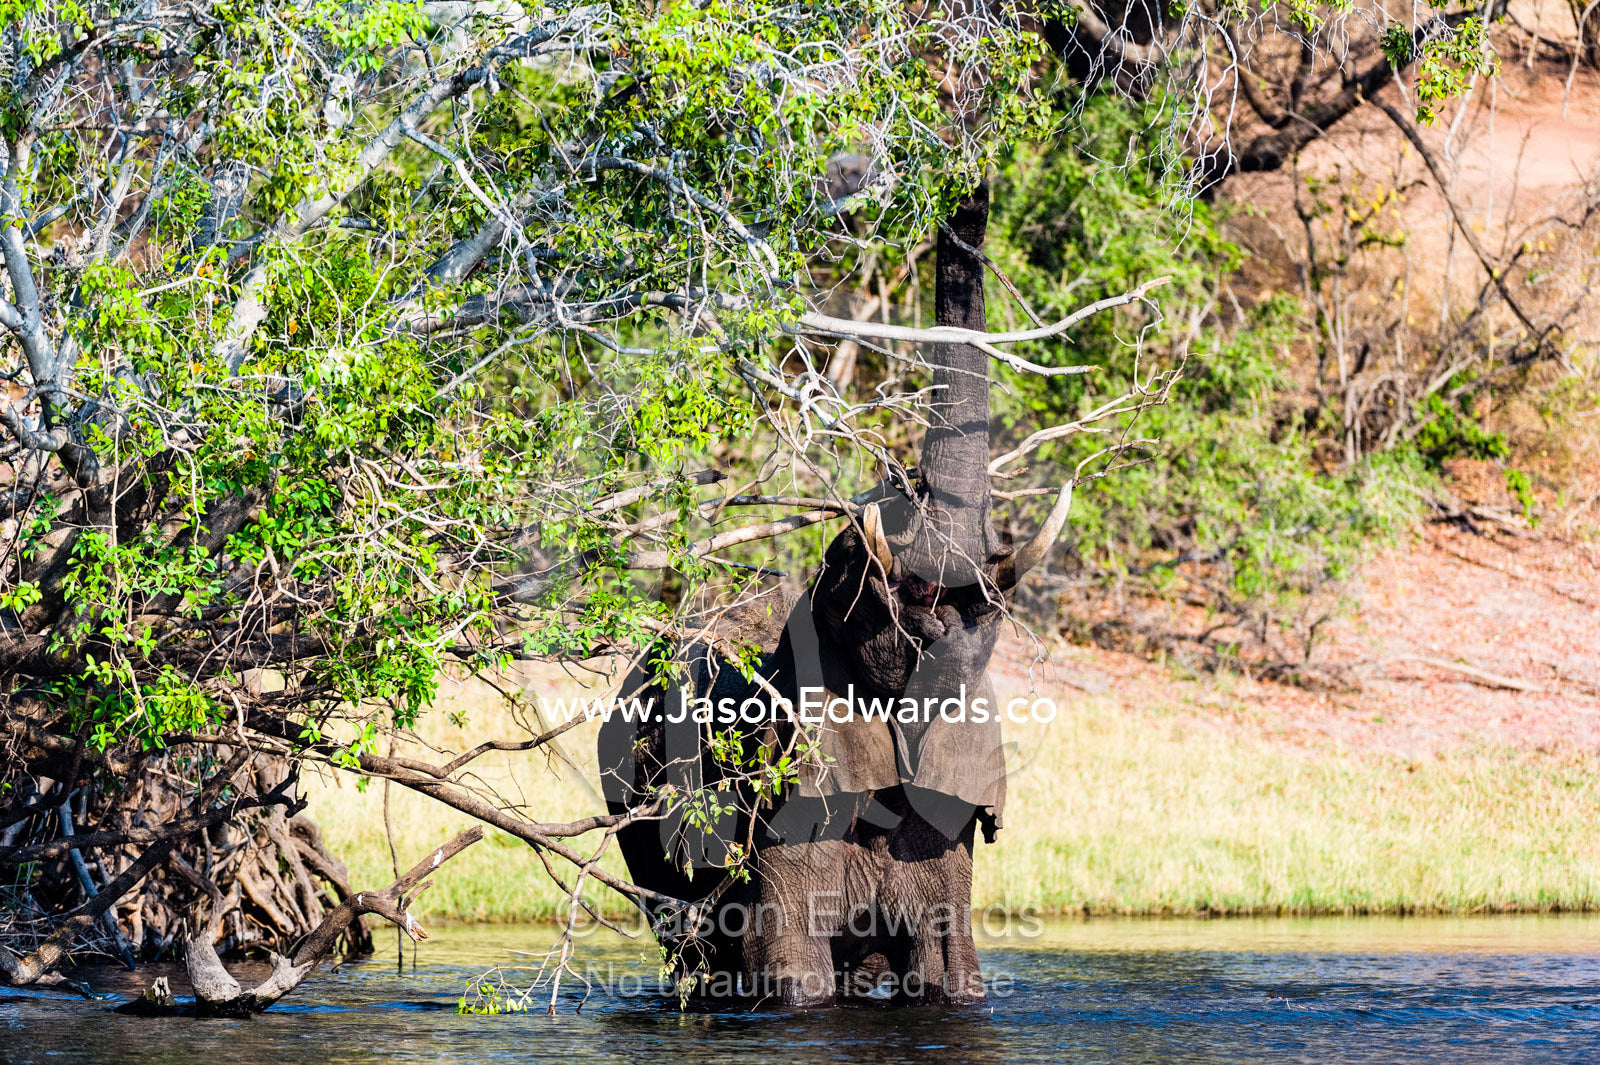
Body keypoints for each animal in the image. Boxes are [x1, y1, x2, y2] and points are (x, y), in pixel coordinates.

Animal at [598, 184, 1070, 1007]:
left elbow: (952, 972)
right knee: (692, 946)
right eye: (863, 562)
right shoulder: (792, 777)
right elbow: (792, 970)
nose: (971, 189)